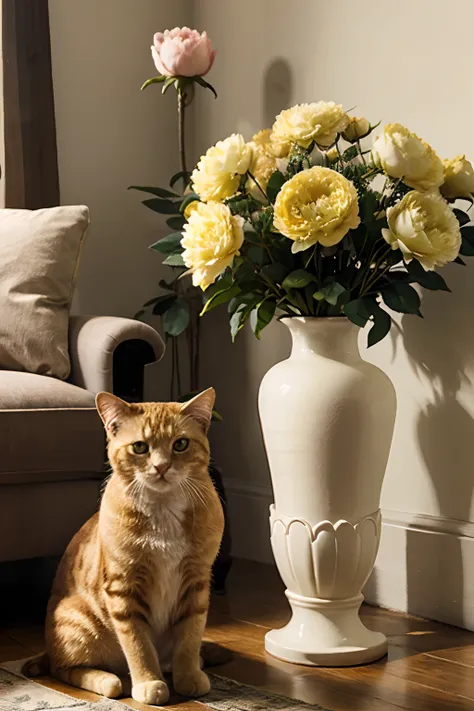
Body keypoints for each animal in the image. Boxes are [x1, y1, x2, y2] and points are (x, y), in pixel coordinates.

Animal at [25, 390, 224, 708]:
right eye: (140, 447)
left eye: (180, 444)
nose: (161, 466)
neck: (163, 509)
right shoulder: (123, 588)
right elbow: (138, 644)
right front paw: (148, 682)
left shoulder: (197, 581)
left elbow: (190, 637)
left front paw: (189, 676)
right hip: (77, 620)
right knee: (62, 668)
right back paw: (110, 681)